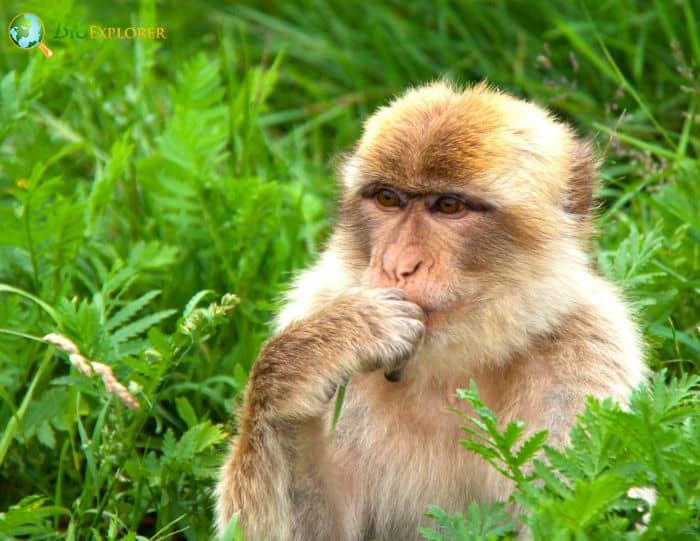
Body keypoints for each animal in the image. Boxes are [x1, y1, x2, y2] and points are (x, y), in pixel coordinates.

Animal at [215, 81, 648, 540]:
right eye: (388, 198)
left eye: (448, 206)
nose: (398, 264)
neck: (451, 366)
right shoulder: (318, 298)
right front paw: (315, 354)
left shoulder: (589, 353)